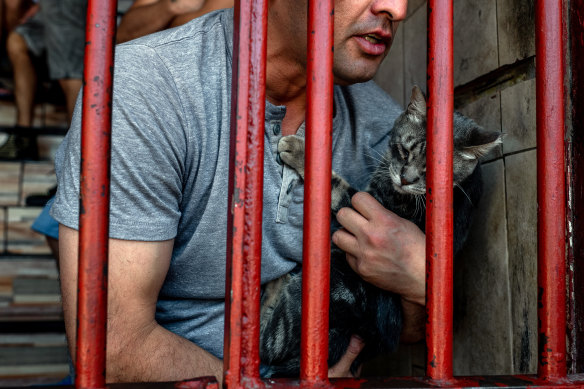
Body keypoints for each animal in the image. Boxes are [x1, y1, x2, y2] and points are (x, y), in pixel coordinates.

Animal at [258, 85, 502, 376]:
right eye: (405, 151)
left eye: (430, 173)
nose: (405, 179)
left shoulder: (360, 204)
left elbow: (335, 184)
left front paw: (300, 151)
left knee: (266, 341)